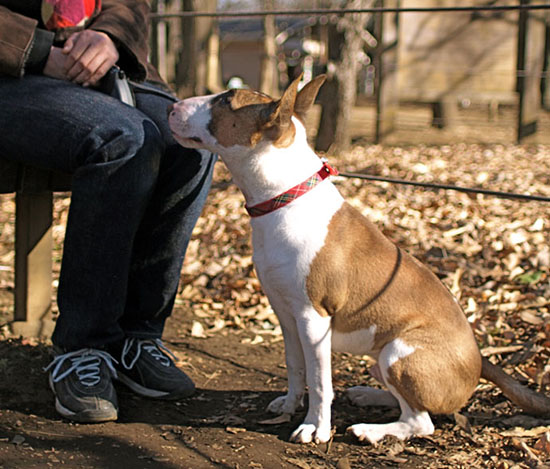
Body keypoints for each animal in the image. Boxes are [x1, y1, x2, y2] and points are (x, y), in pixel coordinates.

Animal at [168, 76, 550, 442]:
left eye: (226, 100)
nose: (172, 106)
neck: (286, 199)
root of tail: (479, 360)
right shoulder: (286, 315)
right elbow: (295, 367)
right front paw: (290, 404)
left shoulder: (314, 320)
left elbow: (320, 382)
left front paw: (315, 428)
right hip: (380, 358)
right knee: (402, 401)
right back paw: (369, 395)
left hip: (399, 351)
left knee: (420, 421)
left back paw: (370, 430)